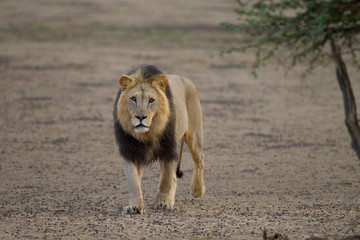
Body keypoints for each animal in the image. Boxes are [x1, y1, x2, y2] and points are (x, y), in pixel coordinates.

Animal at [114, 64, 207, 214]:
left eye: (151, 100)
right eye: (133, 98)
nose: (141, 117)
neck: (147, 134)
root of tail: (185, 79)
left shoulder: (168, 149)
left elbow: (165, 180)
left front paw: (163, 202)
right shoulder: (130, 151)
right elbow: (134, 182)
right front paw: (135, 206)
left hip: (194, 134)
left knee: (199, 159)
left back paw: (197, 190)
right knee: (174, 177)